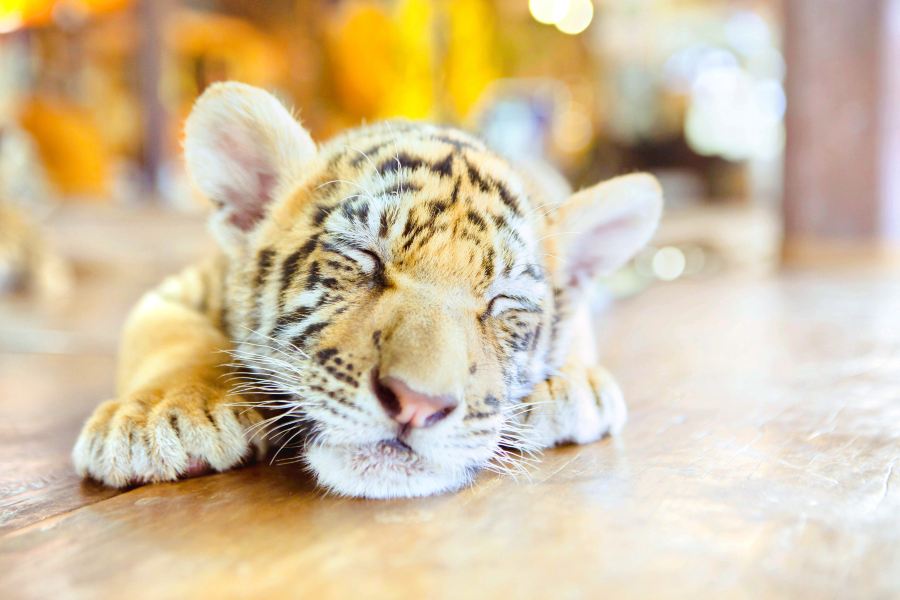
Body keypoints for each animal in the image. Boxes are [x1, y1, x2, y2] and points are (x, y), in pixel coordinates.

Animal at [72, 82, 663, 498]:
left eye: (501, 303)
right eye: (365, 258)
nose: (417, 405)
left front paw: (572, 385)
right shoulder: (179, 289)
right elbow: (170, 338)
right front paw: (159, 417)